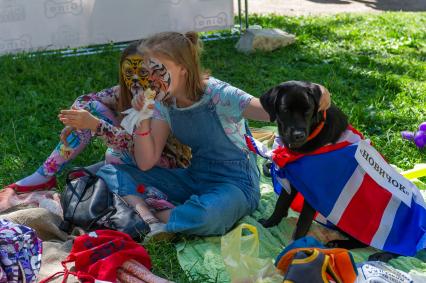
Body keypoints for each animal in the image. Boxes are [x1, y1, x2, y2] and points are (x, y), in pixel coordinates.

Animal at [258, 81, 348, 241]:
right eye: (285, 110)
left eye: (308, 110)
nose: (298, 135)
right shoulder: (292, 180)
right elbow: (280, 204)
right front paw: (269, 223)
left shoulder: (314, 194)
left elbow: (303, 223)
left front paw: (297, 245)